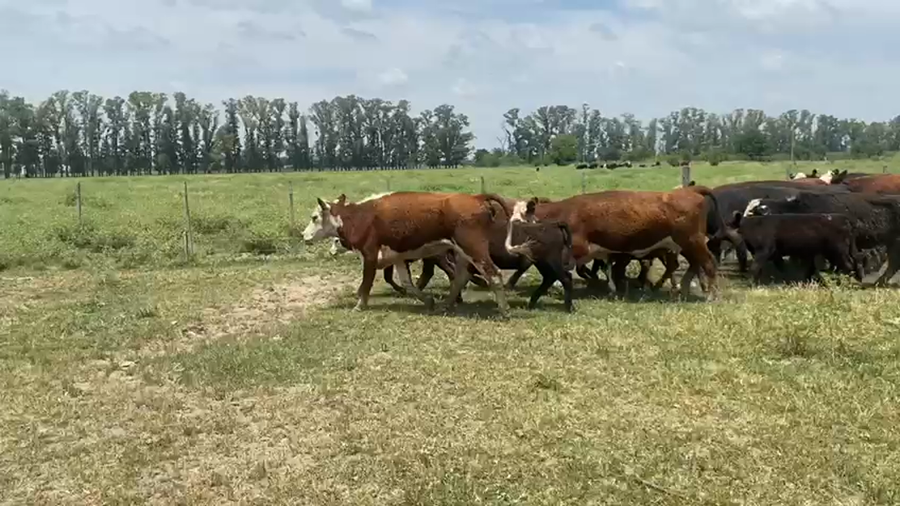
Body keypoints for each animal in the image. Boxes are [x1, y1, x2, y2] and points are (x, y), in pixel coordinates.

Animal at [303, 191, 514, 313]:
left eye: (314, 217)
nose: (304, 235)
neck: (359, 217)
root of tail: (476, 197)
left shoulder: (369, 255)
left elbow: (365, 284)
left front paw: (359, 305)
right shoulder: (397, 258)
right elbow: (408, 284)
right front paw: (428, 300)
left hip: (473, 249)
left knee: (493, 274)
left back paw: (504, 309)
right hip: (461, 252)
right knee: (460, 277)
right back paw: (446, 304)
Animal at [509, 186, 726, 299]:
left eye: (519, 220)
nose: (510, 245)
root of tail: (689, 190)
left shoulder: (577, 249)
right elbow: (604, 269)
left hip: (692, 241)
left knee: (708, 264)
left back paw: (711, 295)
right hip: (685, 245)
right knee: (693, 265)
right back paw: (683, 290)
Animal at [729, 212, 863, 284]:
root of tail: (845, 219)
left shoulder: (764, 251)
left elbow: (755, 267)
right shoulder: (775, 254)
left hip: (838, 251)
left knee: (848, 265)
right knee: (856, 261)